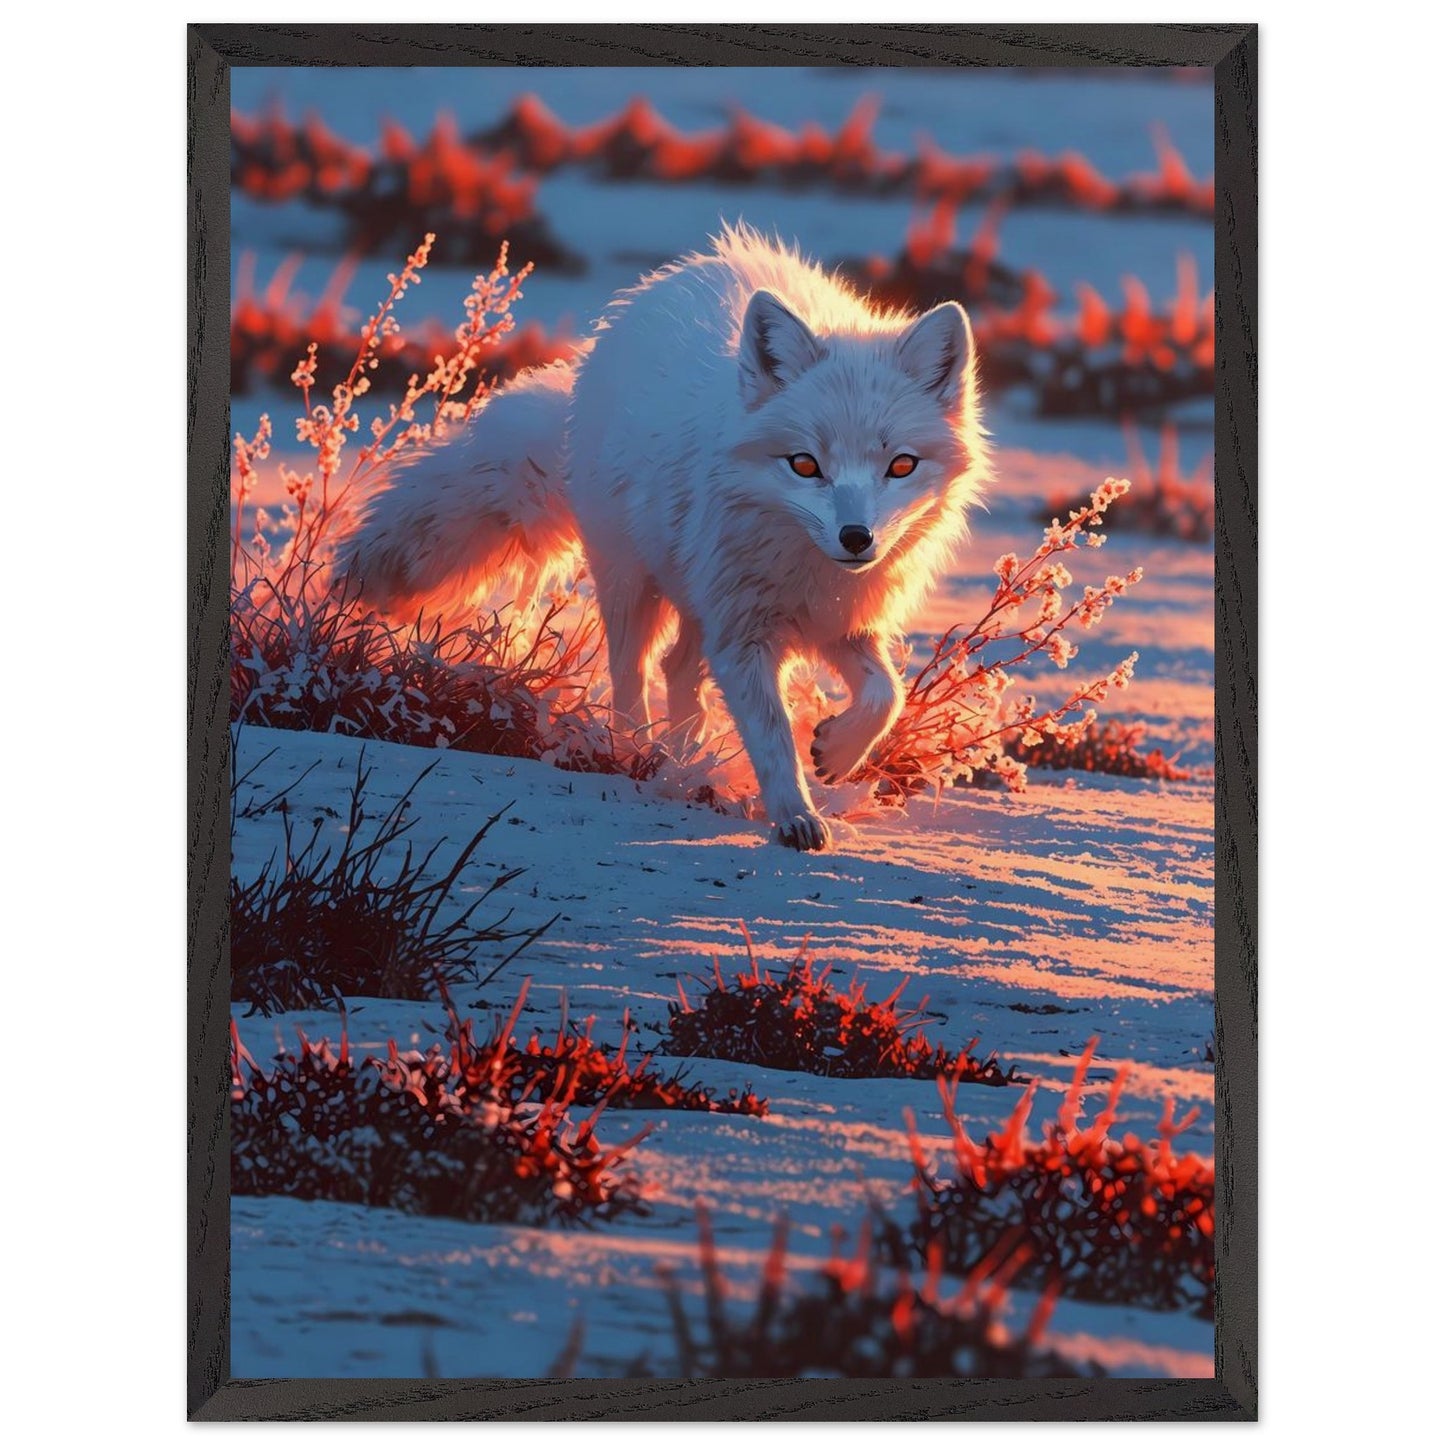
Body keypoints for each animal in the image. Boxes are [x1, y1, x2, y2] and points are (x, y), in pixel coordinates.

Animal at [343, 223, 989, 850]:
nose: (857, 538)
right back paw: (638, 754)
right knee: (632, 675)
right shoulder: (743, 635)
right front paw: (794, 817)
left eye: (900, 466)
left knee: (679, 672)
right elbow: (773, 737)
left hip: (696, 599)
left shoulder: (839, 620)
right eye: (805, 465)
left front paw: (837, 750)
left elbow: (887, 694)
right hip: (634, 585)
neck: (805, 566)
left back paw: (688, 760)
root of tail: (660, 287)